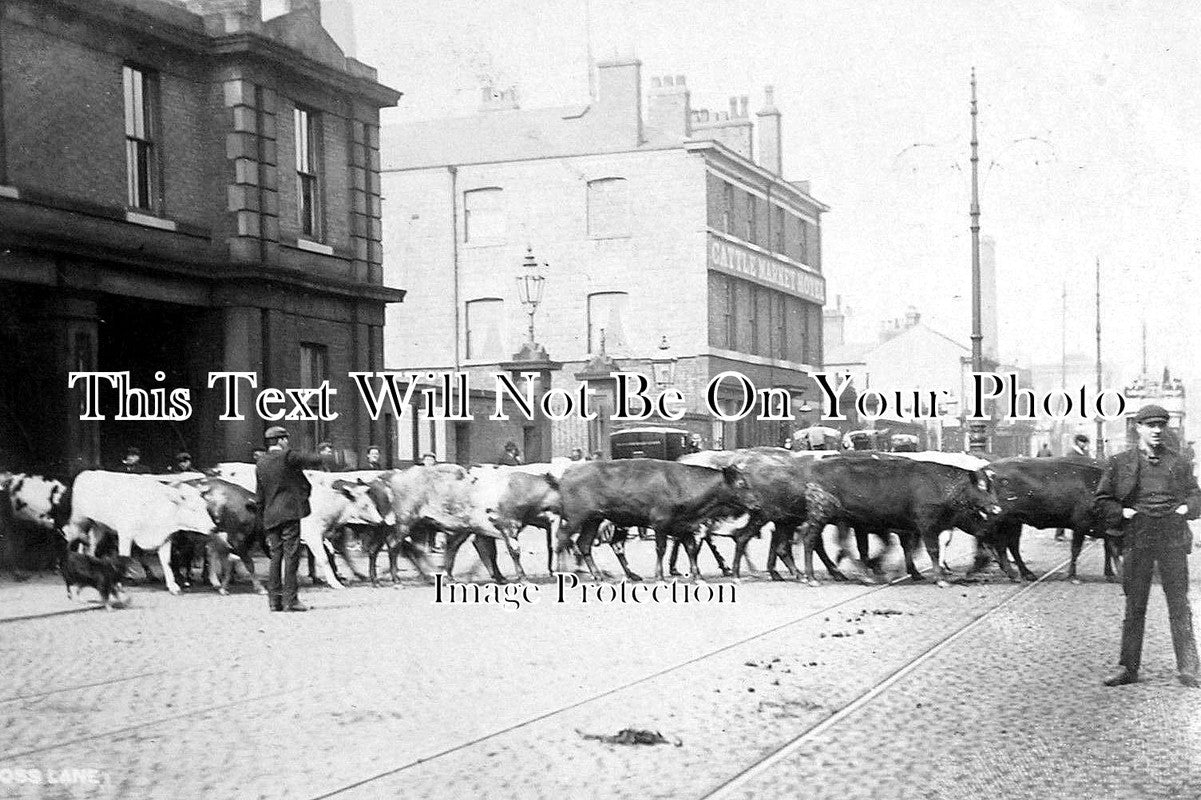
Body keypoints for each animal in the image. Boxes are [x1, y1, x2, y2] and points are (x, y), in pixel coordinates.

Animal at [62, 470, 216, 595]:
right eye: (193, 509)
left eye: (205, 506)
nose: (213, 527)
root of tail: (87, 472)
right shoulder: (125, 534)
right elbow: (124, 557)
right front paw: (119, 583)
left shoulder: (165, 537)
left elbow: (166, 561)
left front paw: (173, 586)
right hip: (79, 520)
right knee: (72, 540)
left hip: (99, 526)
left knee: (90, 548)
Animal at [554, 458, 759, 583]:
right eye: (741, 483)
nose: (756, 504)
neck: (681, 484)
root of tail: (569, 470)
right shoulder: (661, 523)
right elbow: (661, 549)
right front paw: (660, 577)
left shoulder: (683, 526)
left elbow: (691, 549)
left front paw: (697, 576)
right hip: (576, 518)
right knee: (562, 537)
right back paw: (560, 572)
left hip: (593, 519)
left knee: (584, 544)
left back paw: (598, 576)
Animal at [797, 451, 1004, 583]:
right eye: (981, 487)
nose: (996, 508)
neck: (940, 485)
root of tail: (815, 468)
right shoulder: (925, 525)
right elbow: (932, 550)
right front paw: (939, 578)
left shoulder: (912, 528)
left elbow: (906, 548)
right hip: (821, 513)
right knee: (811, 540)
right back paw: (812, 577)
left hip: (842, 520)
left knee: (840, 543)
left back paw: (860, 573)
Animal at [970, 454, 1109, 578]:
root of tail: (985, 469)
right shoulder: (1080, 525)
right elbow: (1076, 549)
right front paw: (1072, 575)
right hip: (1002, 521)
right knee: (996, 543)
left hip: (1014, 523)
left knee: (1009, 545)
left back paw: (1025, 573)